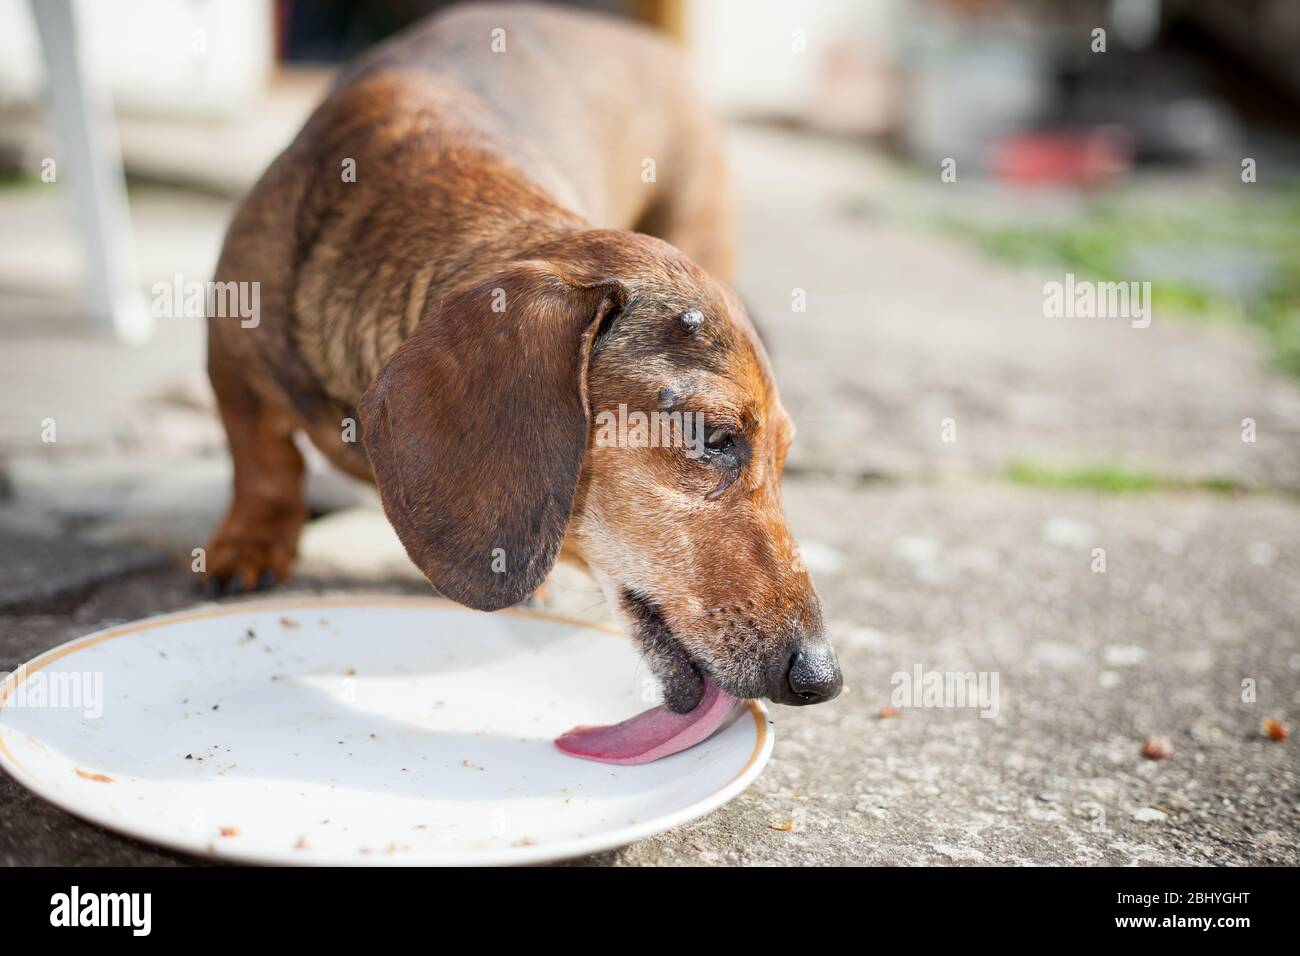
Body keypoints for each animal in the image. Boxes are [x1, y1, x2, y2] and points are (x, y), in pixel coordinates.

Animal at [197, 5, 837, 712]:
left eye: (784, 456)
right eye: (712, 436)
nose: (823, 677)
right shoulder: (230, 355)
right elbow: (263, 462)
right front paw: (250, 541)